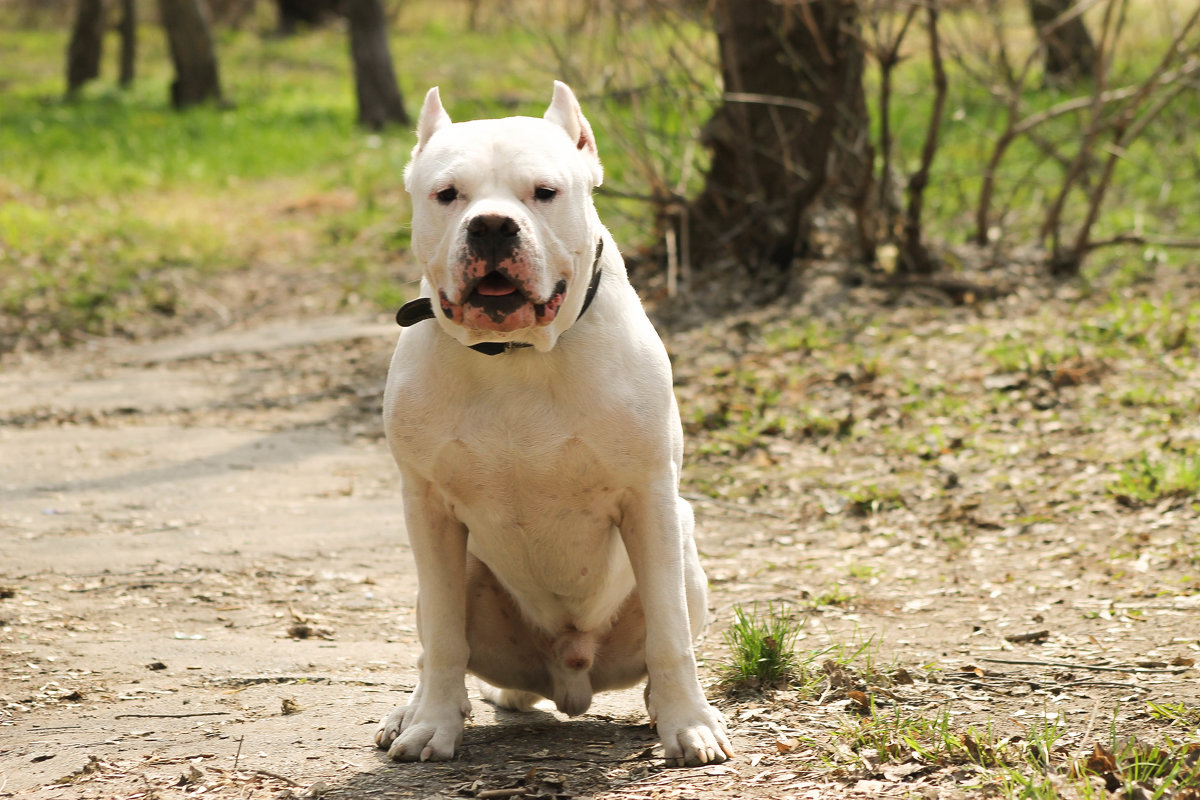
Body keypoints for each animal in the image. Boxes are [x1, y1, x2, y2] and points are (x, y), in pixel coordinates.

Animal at [374, 81, 729, 767]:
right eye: (447, 194)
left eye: (544, 191)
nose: (490, 225)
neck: (514, 357)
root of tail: (567, 676)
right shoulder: (427, 509)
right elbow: (443, 635)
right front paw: (432, 723)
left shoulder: (648, 499)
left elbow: (670, 633)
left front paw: (688, 723)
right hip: (456, 572)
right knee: (437, 638)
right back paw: (417, 707)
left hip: (684, 545)